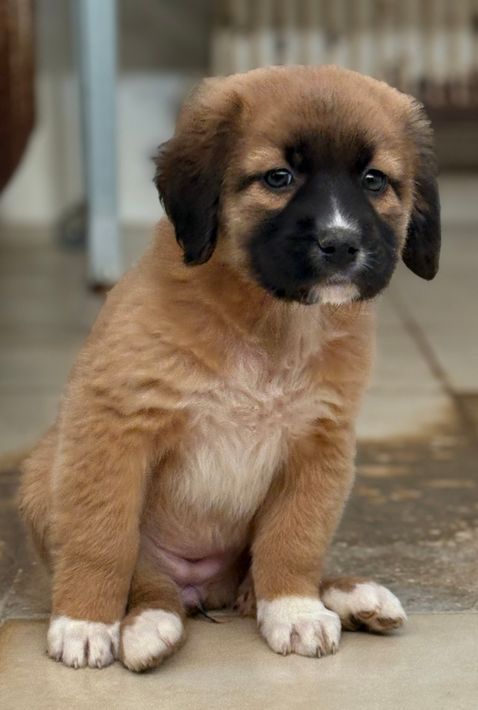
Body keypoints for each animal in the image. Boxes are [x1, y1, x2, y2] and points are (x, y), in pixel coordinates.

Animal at [19, 65, 440, 671]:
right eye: (278, 177)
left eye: (374, 180)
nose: (341, 244)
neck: (270, 326)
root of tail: (199, 590)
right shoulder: (113, 425)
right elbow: (103, 537)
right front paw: (85, 622)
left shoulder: (319, 443)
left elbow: (293, 539)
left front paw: (294, 610)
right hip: (41, 475)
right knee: (145, 580)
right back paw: (146, 624)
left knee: (259, 576)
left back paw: (349, 596)